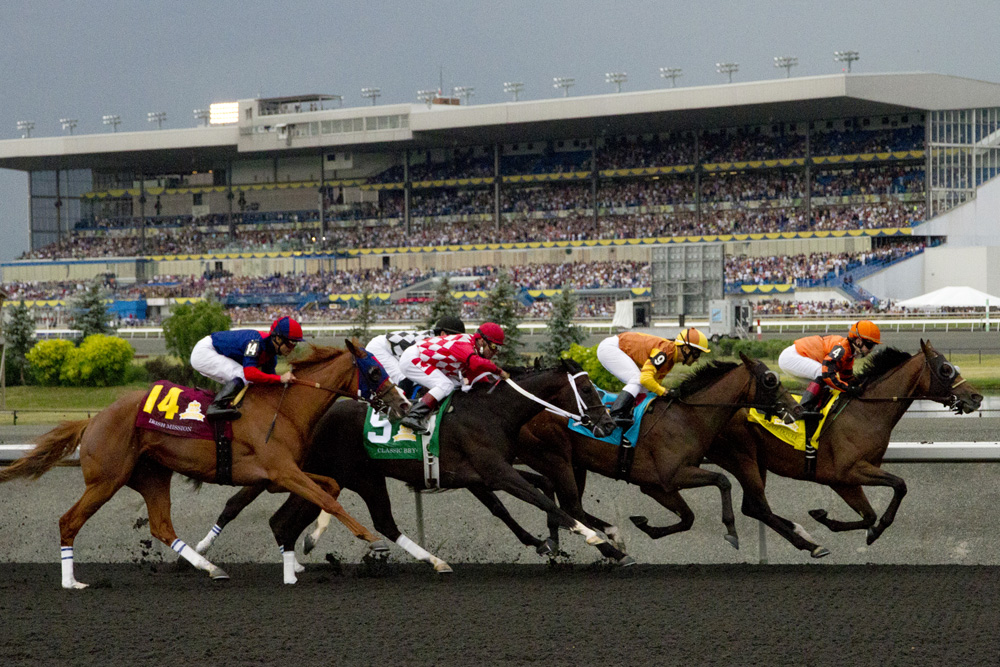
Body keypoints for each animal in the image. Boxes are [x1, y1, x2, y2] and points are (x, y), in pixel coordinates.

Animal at [0, 342, 408, 588]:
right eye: (374, 372)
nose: (403, 404)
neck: (285, 409)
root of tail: (93, 420)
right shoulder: (281, 471)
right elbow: (329, 498)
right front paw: (372, 540)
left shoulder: (278, 476)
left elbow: (331, 488)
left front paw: (309, 541)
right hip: (106, 479)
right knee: (69, 521)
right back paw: (72, 582)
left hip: (152, 476)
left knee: (162, 526)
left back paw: (210, 568)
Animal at [262, 358, 624, 580]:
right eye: (588, 389)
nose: (608, 424)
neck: (491, 411)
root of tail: (318, 417)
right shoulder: (496, 473)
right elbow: (543, 500)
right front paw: (598, 540)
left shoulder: (487, 474)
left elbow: (538, 491)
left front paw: (550, 543)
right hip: (352, 475)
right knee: (366, 518)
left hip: (354, 476)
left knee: (303, 517)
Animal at [516, 354, 796, 552]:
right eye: (770, 380)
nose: (797, 408)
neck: (688, 417)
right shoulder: (670, 476)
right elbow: (722, 480)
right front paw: (731, 530)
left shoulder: (657, 487)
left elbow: (688, 518)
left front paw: (646, 525)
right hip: (555, 459)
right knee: (570, 505)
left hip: (576, 464)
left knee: (572, 506)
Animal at [708, 340, 980, 560]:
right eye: (946, 369)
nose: (976, 397)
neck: (865, 412)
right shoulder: (846, 473)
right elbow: (899, 485)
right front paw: (870, 529)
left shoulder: (849, 479)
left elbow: (869, 514)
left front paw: (828, 518)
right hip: (742, 457)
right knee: (758, 507)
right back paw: (809, 543)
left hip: (756, 461)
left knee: (751, 507)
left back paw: (803, 533)